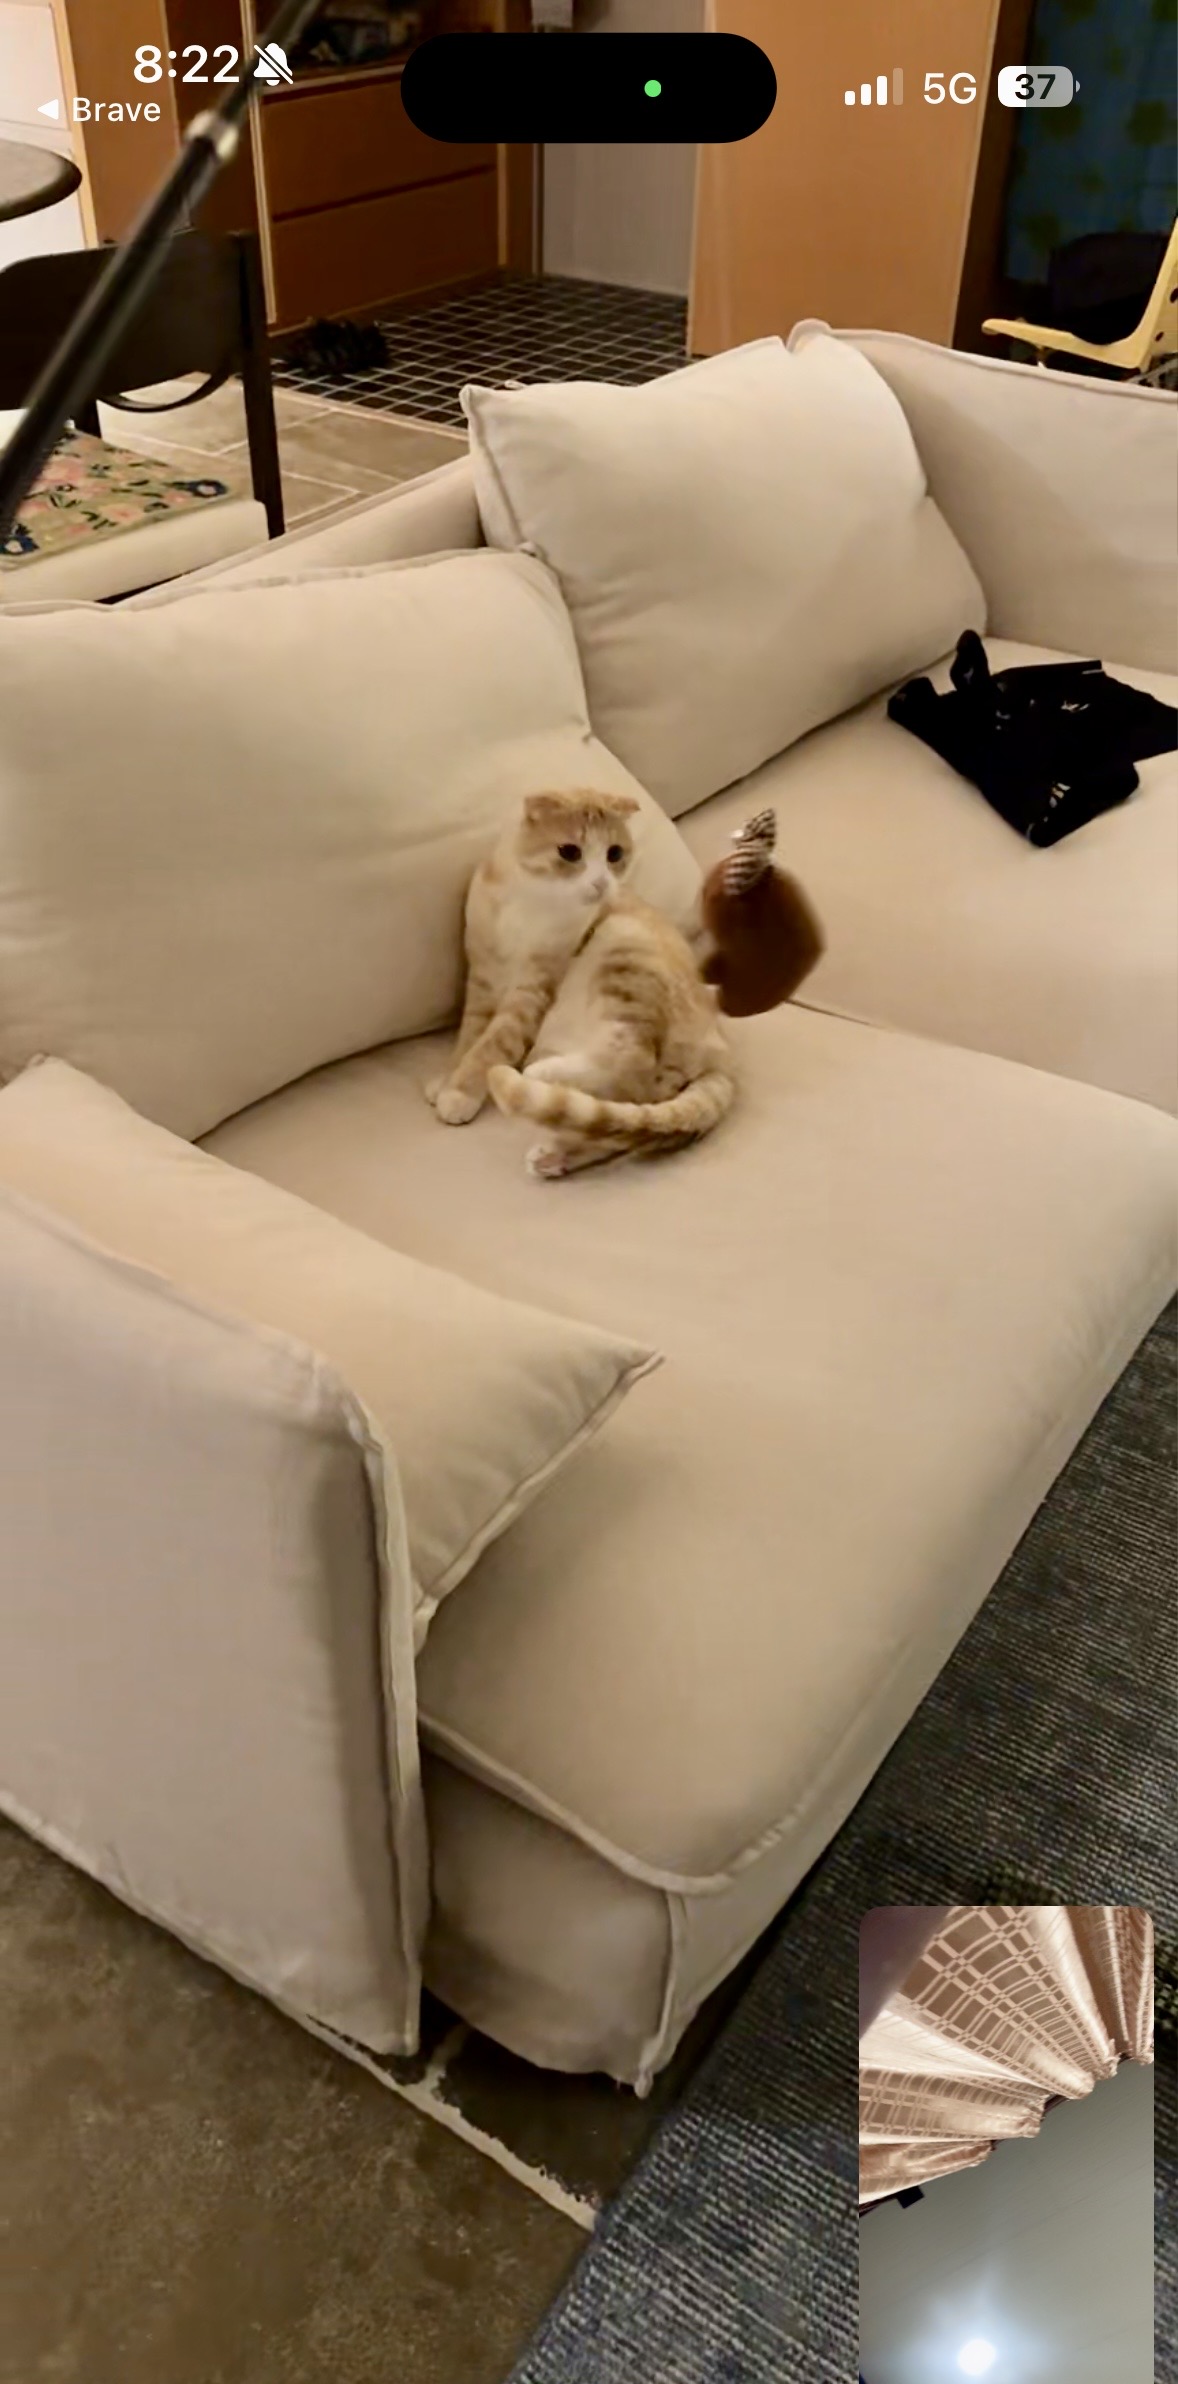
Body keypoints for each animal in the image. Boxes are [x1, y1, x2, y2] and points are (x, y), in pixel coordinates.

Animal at [426, 789, 735, 1178]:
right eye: (570, 852)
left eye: (614, 854)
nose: (601, 883)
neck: (529, 903)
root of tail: (722, 1050)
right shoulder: (482, 978)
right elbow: (470, 1037)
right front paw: (447, 1077)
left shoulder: (533, 990)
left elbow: (493, 1044)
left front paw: (460, 1093)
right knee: (627, 1120)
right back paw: (553, 1155)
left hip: (622, 947)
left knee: (633, 1064)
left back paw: (542, 1074)